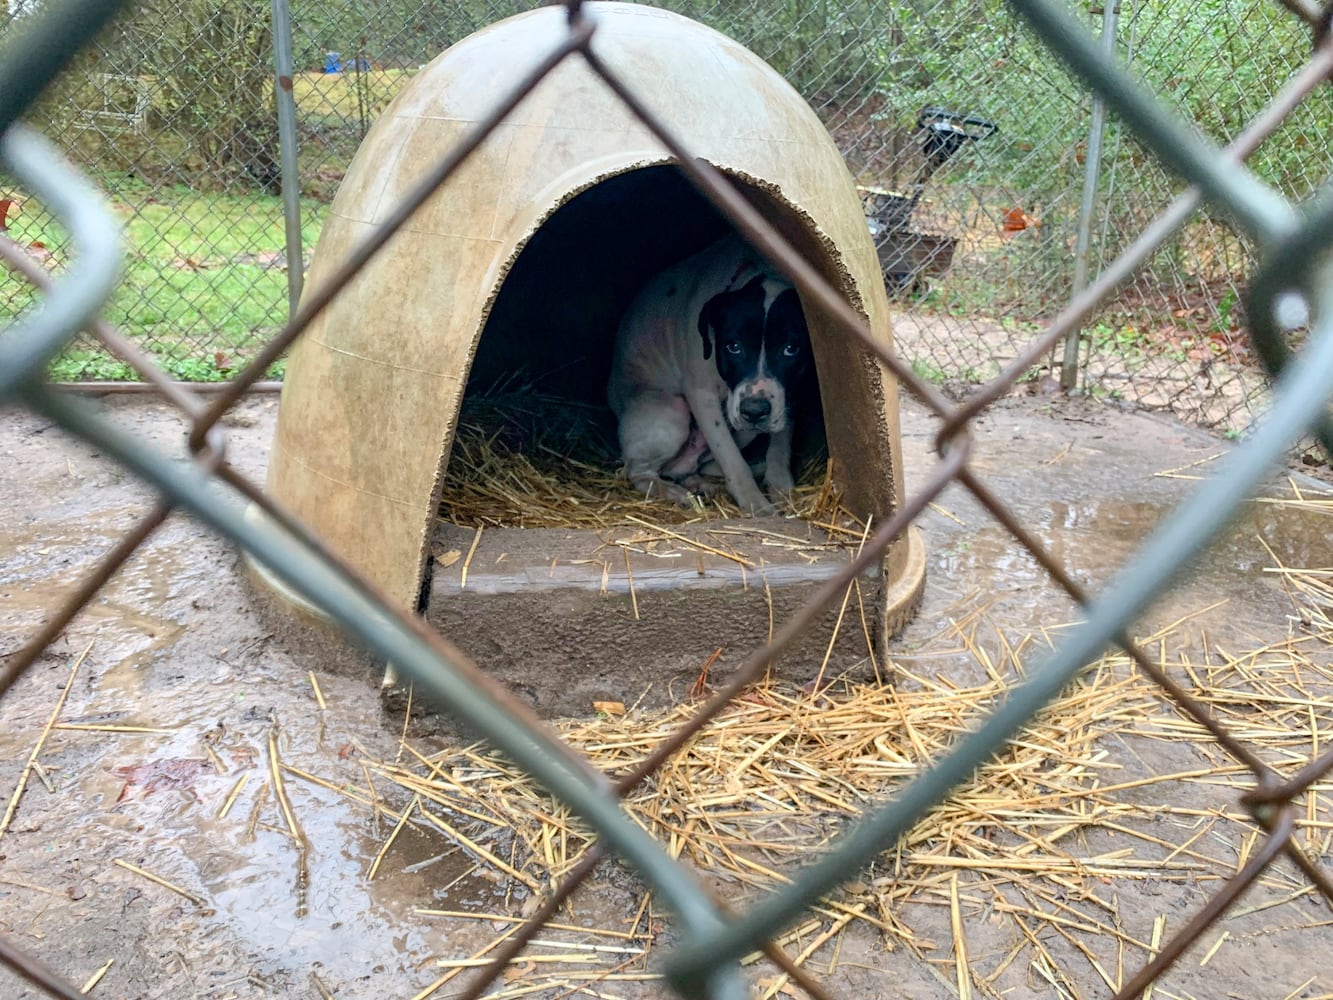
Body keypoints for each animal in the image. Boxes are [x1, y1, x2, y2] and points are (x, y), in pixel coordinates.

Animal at [607, 237, 810, 517]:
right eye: (733, 346)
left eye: (791, 348)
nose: (754, 411)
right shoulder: (702, 396)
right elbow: (732, 458)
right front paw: (756, 505)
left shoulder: (790, 393)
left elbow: (780, 447)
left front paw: (782, 490)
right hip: (672, 413)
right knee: (637, 471)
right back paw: (673, 492)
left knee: (685, 467)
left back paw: (699, 483)